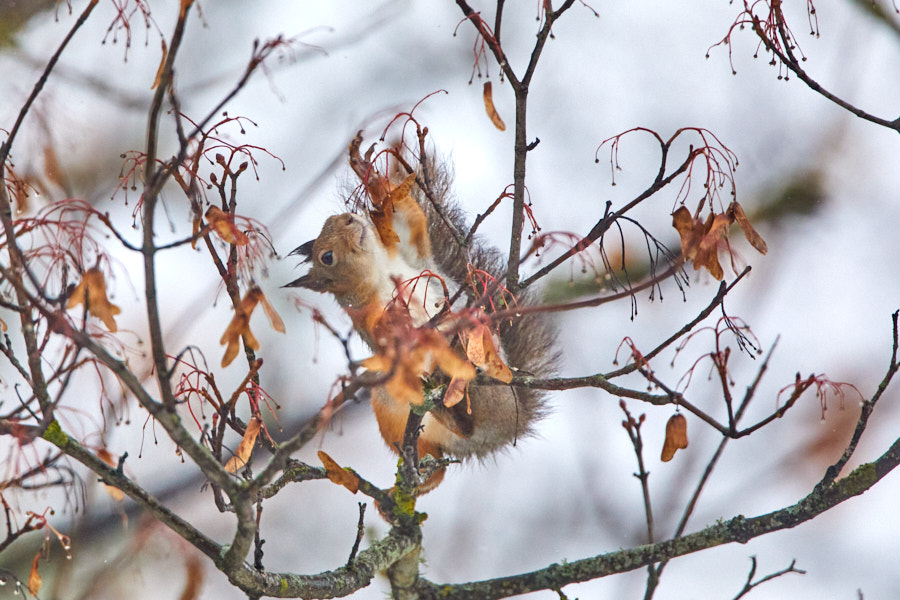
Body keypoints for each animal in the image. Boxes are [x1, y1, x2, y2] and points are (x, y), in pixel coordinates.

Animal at [286, 132, 557, 490]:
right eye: (326, 257)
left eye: (334, 221)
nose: (350, 218)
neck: (381, 274)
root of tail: (499, 435)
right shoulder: (367, 317)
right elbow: (384, 334)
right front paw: (397, 322)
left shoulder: (411, 254)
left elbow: (409, 218)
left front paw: (364, 168)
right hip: (393, 400)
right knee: (441, 451)